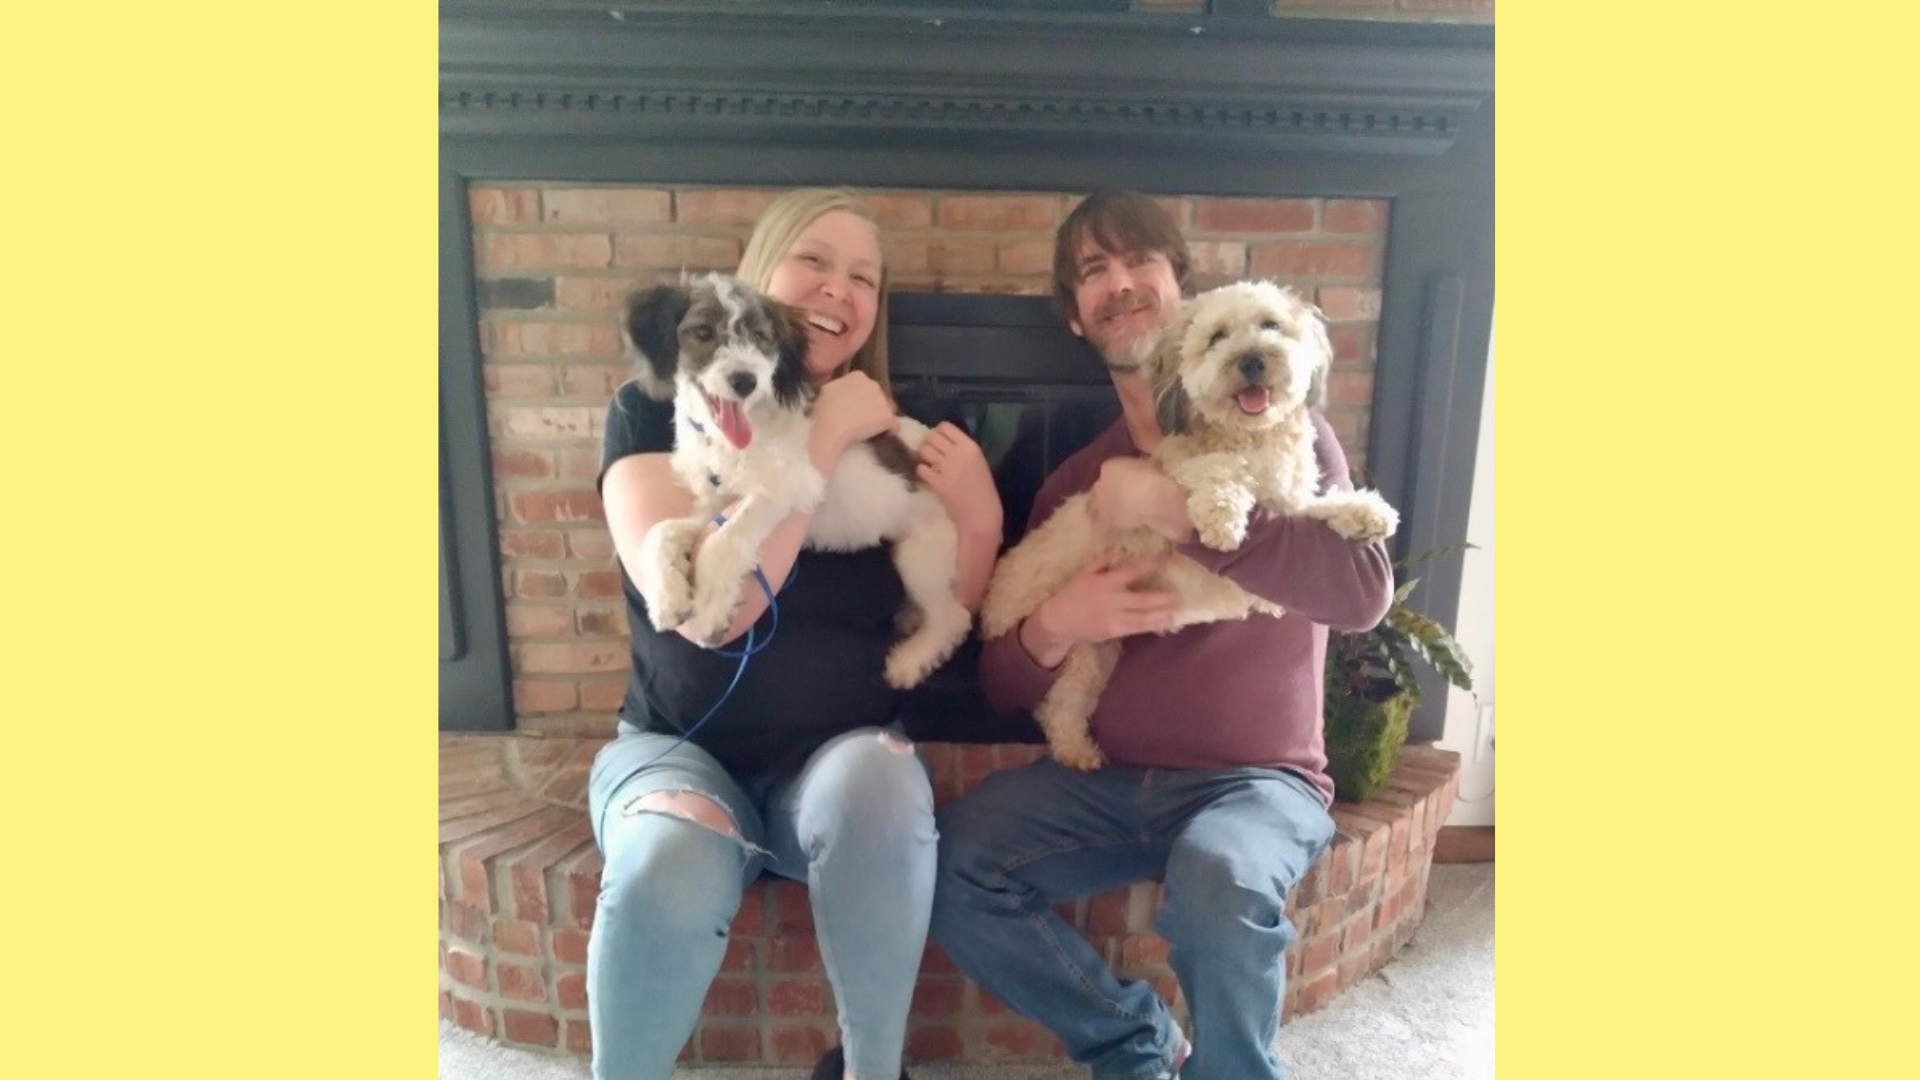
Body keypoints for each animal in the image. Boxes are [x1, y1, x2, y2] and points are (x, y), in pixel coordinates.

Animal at [622, 272, 967, 684]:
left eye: (760, 336)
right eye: (703, 331)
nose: (745, 380)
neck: (730, 437)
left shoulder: (787, 485)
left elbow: (724, 540)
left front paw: (710, 609)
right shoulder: (716, 506)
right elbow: (662, 531)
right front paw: (666, 596)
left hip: (922, 556)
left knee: (954, 617)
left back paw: (909, 661)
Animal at [983, 276, 1405, 764]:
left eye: (1271, 325)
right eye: (1218, 336)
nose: (1252, 360)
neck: (1250, 439)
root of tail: (991, 601)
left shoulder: (1290, 501)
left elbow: (1316, 505)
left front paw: (1366, 512)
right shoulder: (1177, 471)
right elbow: (1217, 469)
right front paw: (1223, 518)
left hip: (1098, 653)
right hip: (1077, 648)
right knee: (1056, 710)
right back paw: (1079, 753)